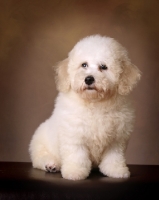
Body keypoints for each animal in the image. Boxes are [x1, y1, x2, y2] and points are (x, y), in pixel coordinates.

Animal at [28, 35, 140, 180]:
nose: (88, 79)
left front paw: (116, 170)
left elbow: (114, 156)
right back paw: (51, 164)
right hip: (40, 143)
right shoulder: (74, 134)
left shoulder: (117, 138)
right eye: (84, 65)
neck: (95, 102)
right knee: (40, 158)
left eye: (103, 67)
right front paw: (75, 172)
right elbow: (77, 155)